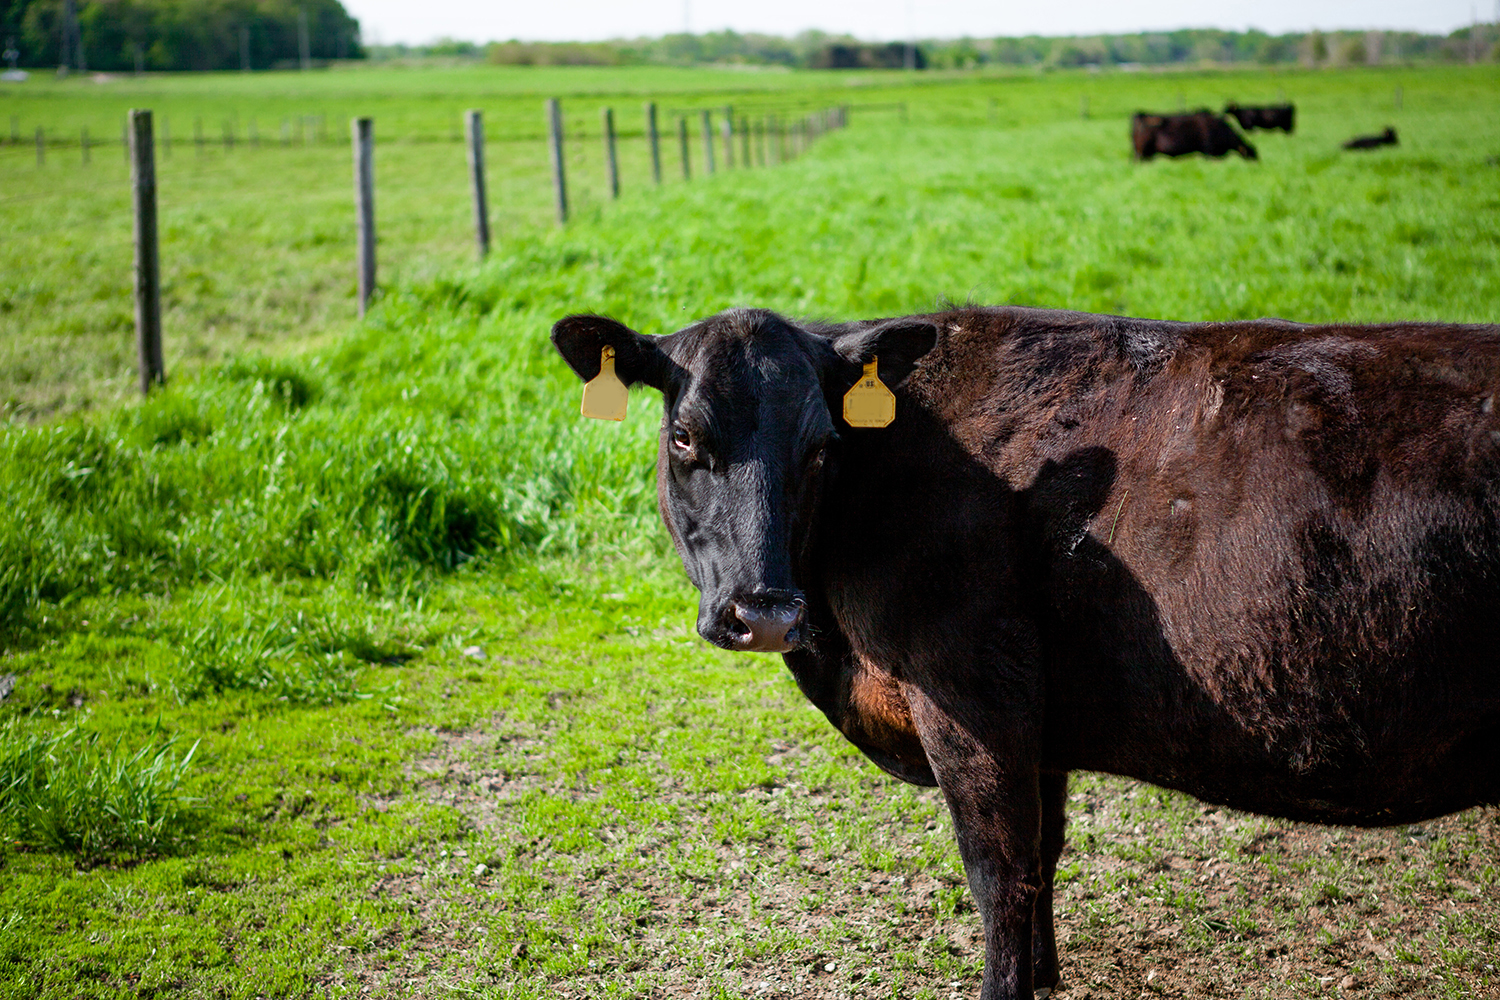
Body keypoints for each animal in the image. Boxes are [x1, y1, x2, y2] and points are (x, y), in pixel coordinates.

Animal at [552, 305, 1500, 1000]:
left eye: (822, 446)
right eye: (684, 438)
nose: (768, 614)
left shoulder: (972, 695)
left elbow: (999, 872)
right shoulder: (1040, 724)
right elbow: (1044, 853)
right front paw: (1045, 976)